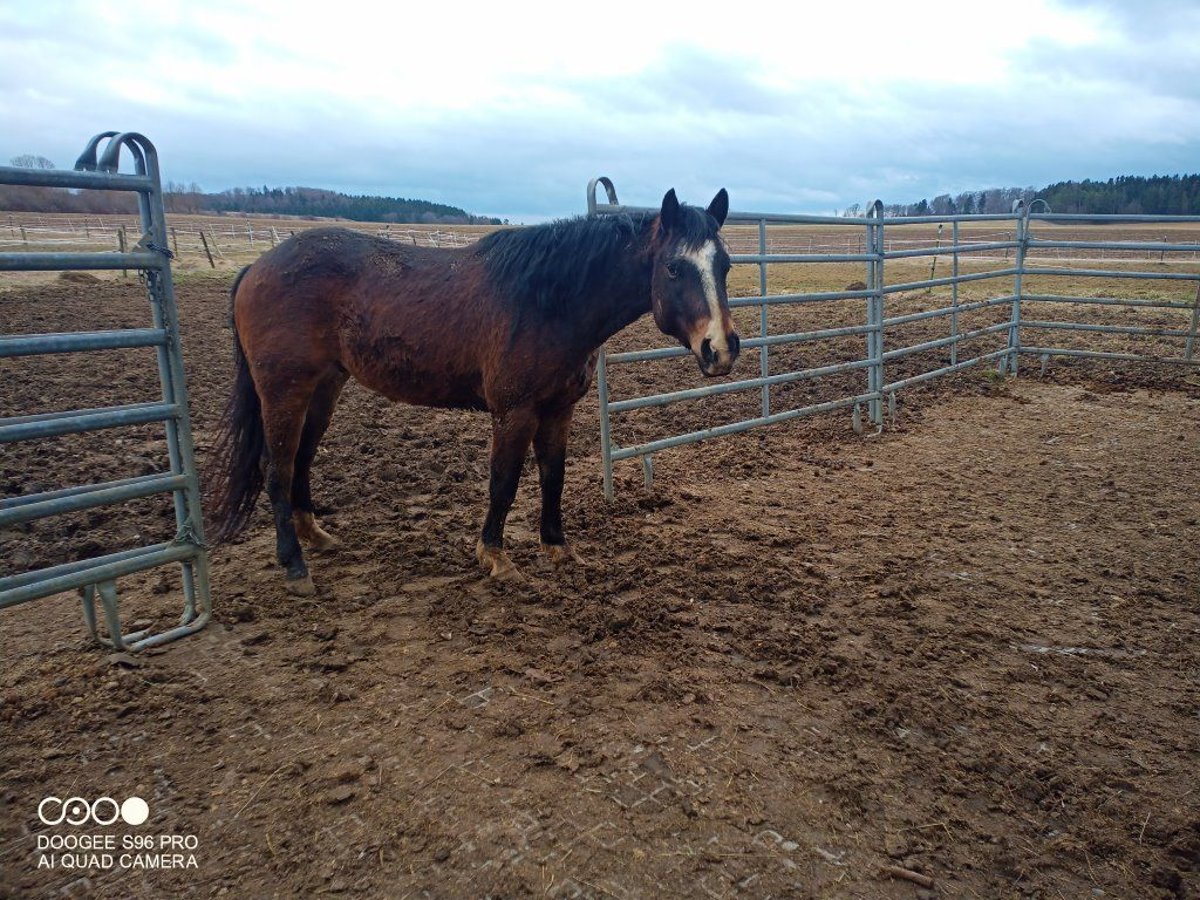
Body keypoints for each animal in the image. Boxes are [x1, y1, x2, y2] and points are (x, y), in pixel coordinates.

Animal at [204, 188, 739, 600]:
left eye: (726, 265)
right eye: (674, 268)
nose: (720, 348)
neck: (549, 301)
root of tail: (256, 267)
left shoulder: (558, 409)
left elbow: (553, 476)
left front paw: (557, 547)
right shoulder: (514, 411)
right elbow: (503, 482)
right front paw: (495, 557)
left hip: (324, 388)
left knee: (301, 460)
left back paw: (315, 536)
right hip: (284, 391)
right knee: (276, 469)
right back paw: (295, 567)